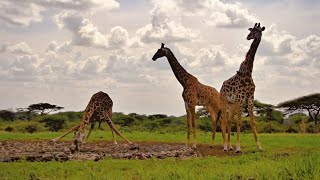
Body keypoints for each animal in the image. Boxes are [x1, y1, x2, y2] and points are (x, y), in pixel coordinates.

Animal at [220, 22, 264, 152]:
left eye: (258, 31)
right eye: (252, 30)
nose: (248, 36)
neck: (248, 72)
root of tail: (221, 86)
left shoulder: (250, 96)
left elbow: (252, 121)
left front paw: (259, 146)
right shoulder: (241, 97)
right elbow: (239, 121)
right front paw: (238, 148)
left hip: (232, 104)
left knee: (229, 120)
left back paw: (229, 146)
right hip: (224, 101)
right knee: (224, 120)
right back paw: (225, 146)